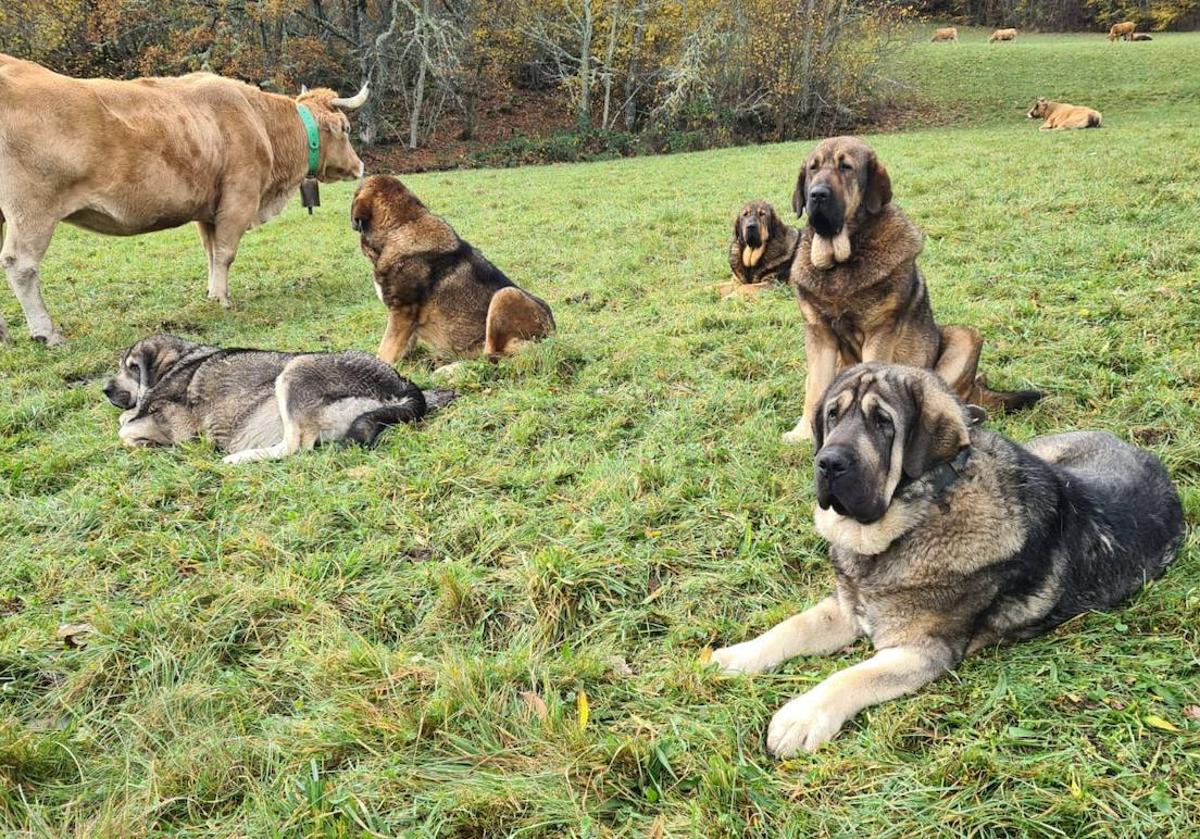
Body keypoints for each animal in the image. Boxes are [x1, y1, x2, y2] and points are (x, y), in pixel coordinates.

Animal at [103, 333, 456, 465]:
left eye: (129, 368)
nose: (105, 389)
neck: (179, 361)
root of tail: (401, 382)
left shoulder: (177, 426)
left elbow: (124, 428)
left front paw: (143, 441)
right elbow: (125, 419)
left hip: (293, 372)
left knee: (295, 447)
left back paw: (239, 458)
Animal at [348, 175, 552, 369]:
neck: (402, 227)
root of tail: (553, 333)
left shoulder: (402, 312)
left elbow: (385, 351)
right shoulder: (406, 321)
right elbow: (403, 347)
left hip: (505, 295)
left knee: (492, 356)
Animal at [710, 364, 1180, 758]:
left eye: (883, 423)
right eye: (832, 415)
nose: (828, 463)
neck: (917, 518)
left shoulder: (921, 651)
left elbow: (853, 676)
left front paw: (802, 716)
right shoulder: (846, 607)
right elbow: (790, 628)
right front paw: (735, 657)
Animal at [782, 134, 1036, 444]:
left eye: (846, 167)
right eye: (812, 169)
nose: (817, 194)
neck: (842, 261)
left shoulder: (879, 333)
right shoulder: (819, 335)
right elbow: (816, 387)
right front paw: (803, 433)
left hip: (965, 337)